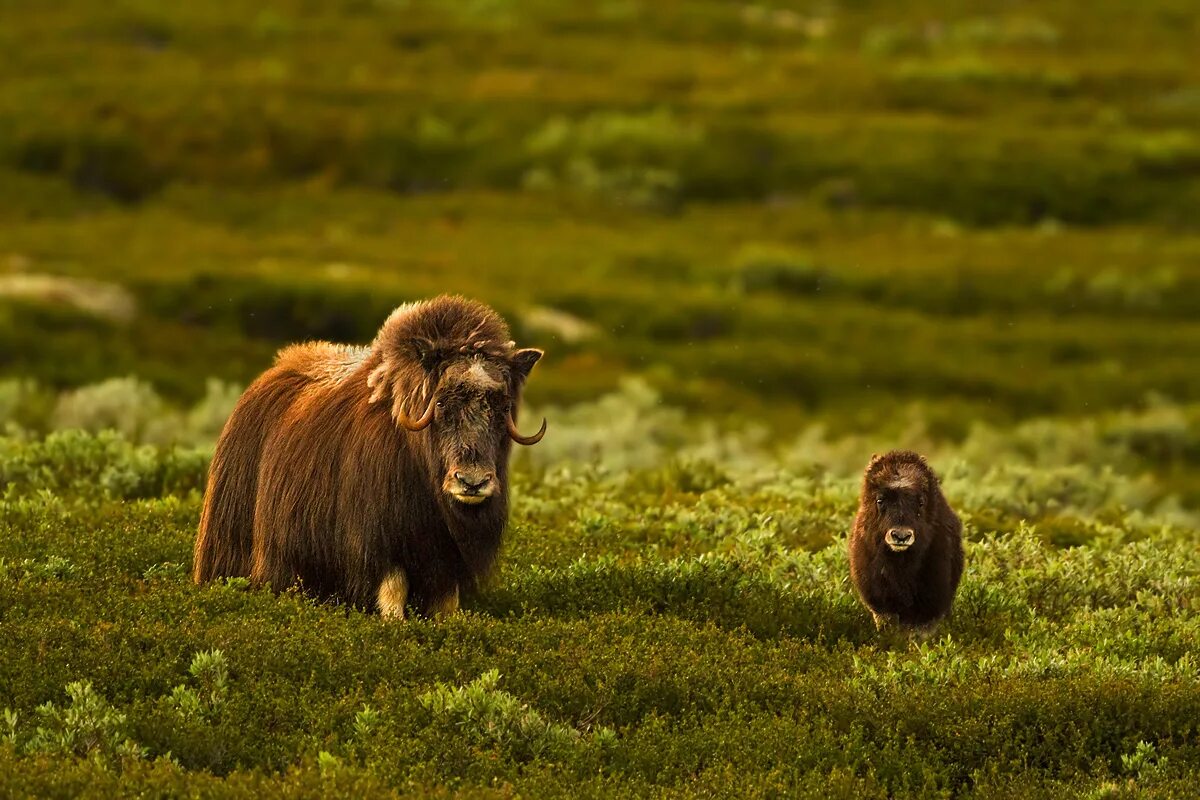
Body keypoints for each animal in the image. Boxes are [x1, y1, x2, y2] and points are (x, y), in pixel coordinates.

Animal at [193, 297, 549, 618]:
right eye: (441, 403)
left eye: (501, 405)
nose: (472, 482)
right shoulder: (380, 545)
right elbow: (391, 598)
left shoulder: (447, 560)